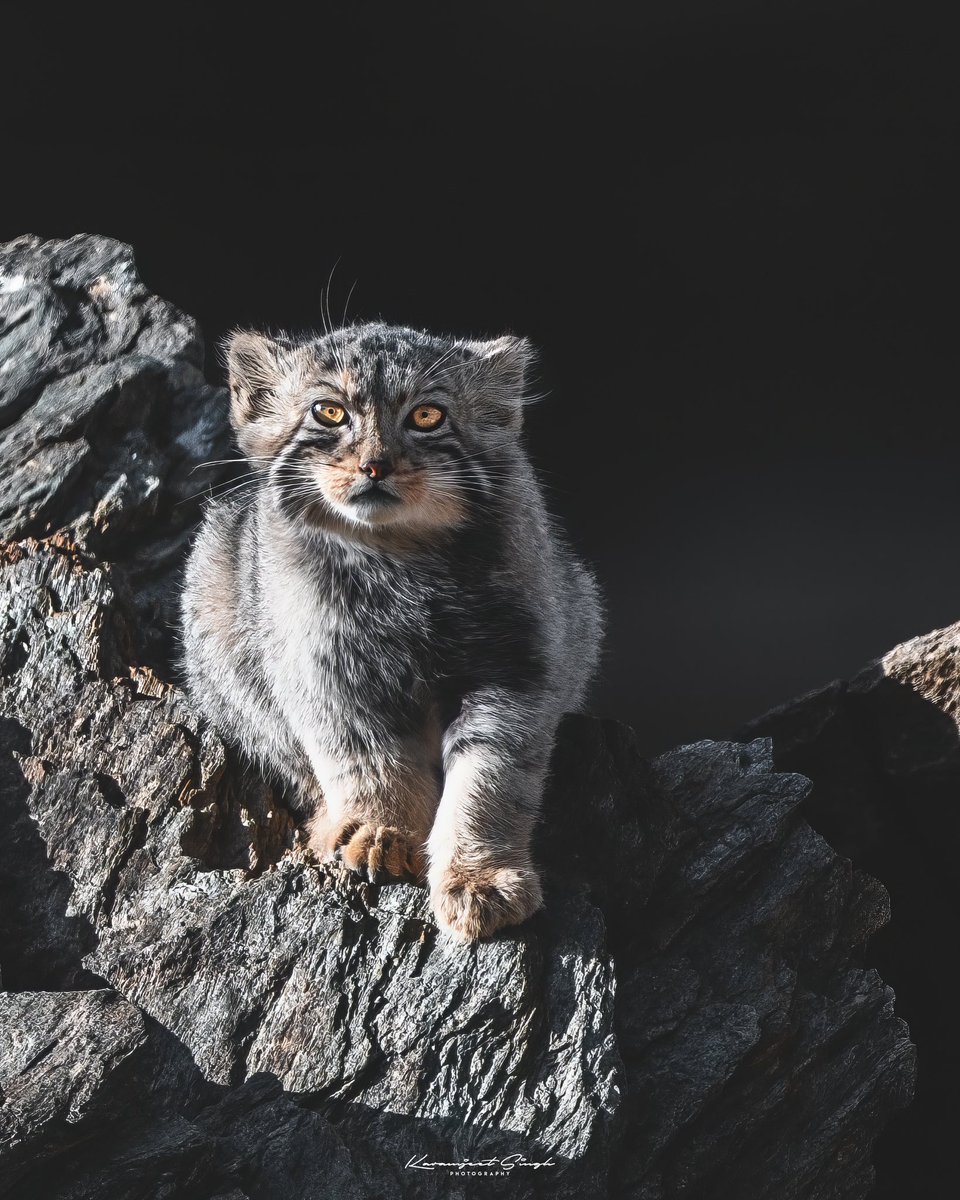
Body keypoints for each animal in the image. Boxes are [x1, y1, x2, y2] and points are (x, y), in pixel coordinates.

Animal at [180, 324, 600, 940]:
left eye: (427, 416)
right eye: (329, 412)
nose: (375, 465)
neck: (397, 562)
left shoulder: (517, 668)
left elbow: (489, 782)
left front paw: (480, 877)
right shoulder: (325, 675)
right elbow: (368, 765)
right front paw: (379, 832)